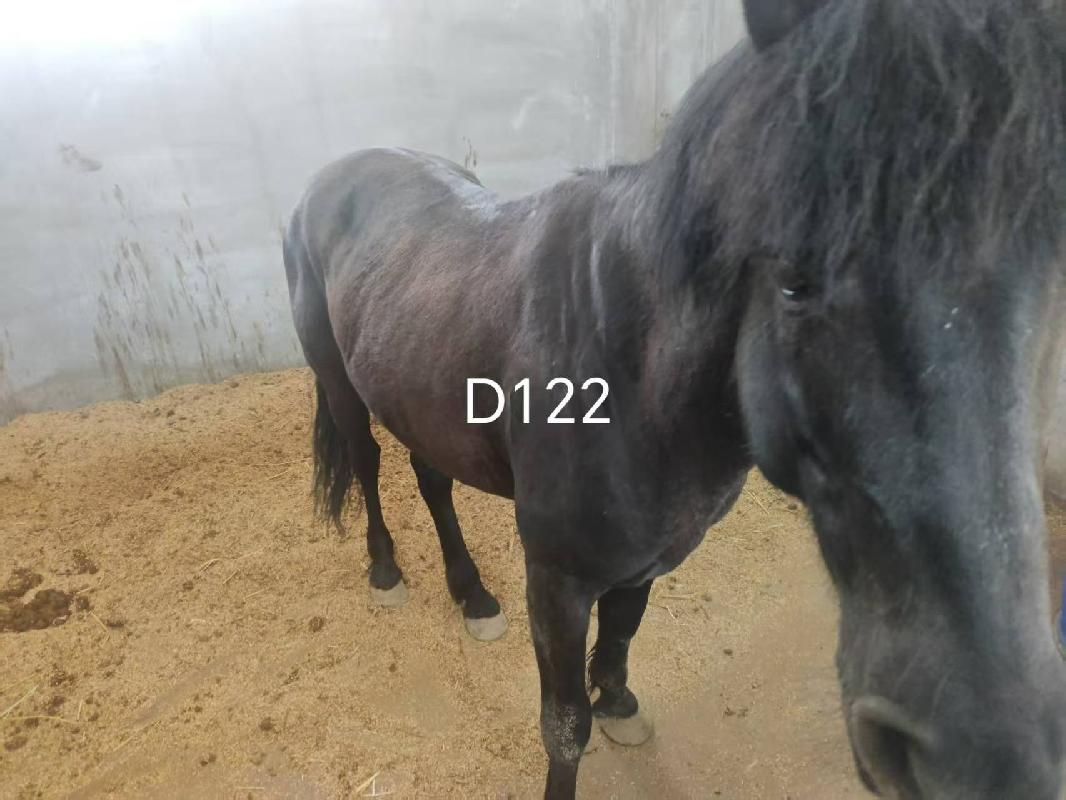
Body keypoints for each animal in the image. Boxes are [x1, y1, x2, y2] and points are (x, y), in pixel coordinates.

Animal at [283, 0, 1066, 797]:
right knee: (368, 464)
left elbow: (623, 633)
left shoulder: (649, 555)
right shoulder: (558, 582)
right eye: (794, 282)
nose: (985, 751)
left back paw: (472, 596)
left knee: (432, 478)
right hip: (340, 382)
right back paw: (386, 573)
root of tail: (332, 176)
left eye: (1045, 282)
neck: (624, 373)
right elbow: (563, 724)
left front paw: (619, 700)